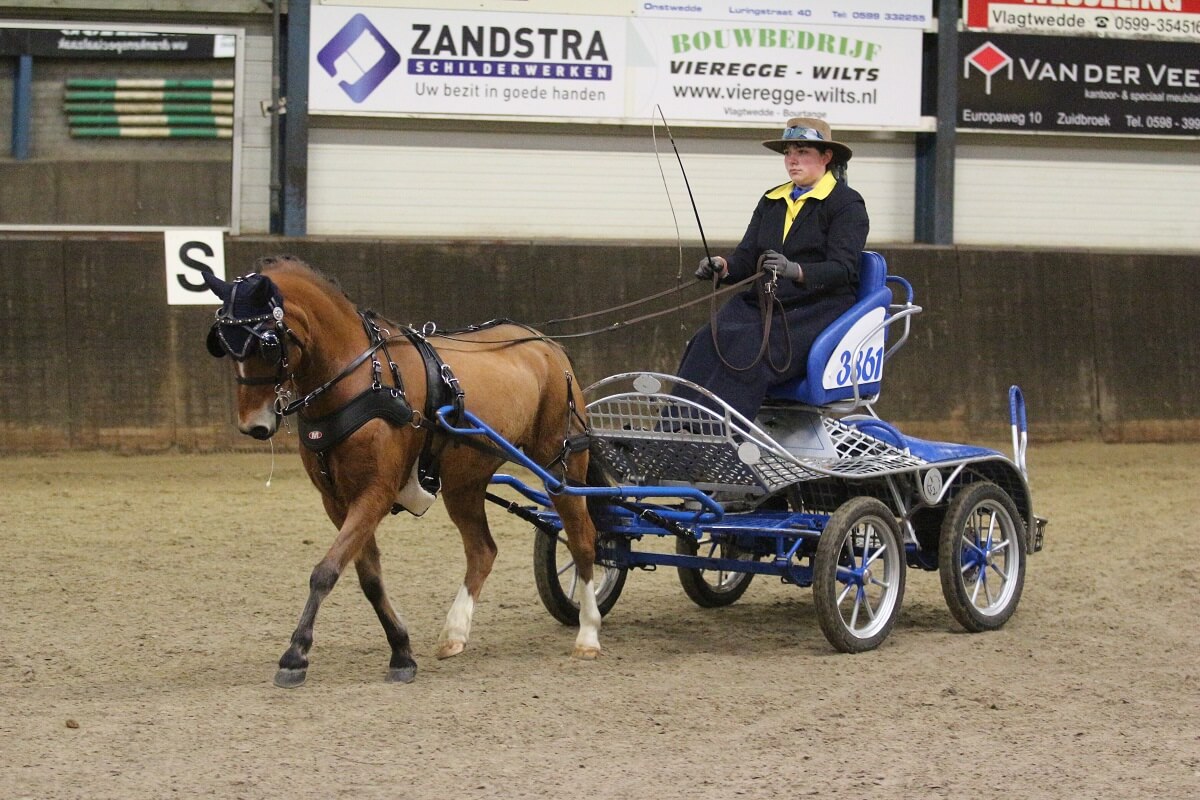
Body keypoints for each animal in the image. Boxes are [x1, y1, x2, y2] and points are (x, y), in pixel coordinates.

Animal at [202, 255, 602, 687]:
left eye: (267, 343)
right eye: (222, 343)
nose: (253, 426)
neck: (364, 379)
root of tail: (547, 344)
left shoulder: (375, 492)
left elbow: (326, 570)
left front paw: (295, 655)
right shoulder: (336, 501)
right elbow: (369, 578)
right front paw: (401, 651)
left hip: (559, 465)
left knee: (583, 539)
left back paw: (588, 633)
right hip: (465, 482)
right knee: (482, 550)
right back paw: (454, 633)